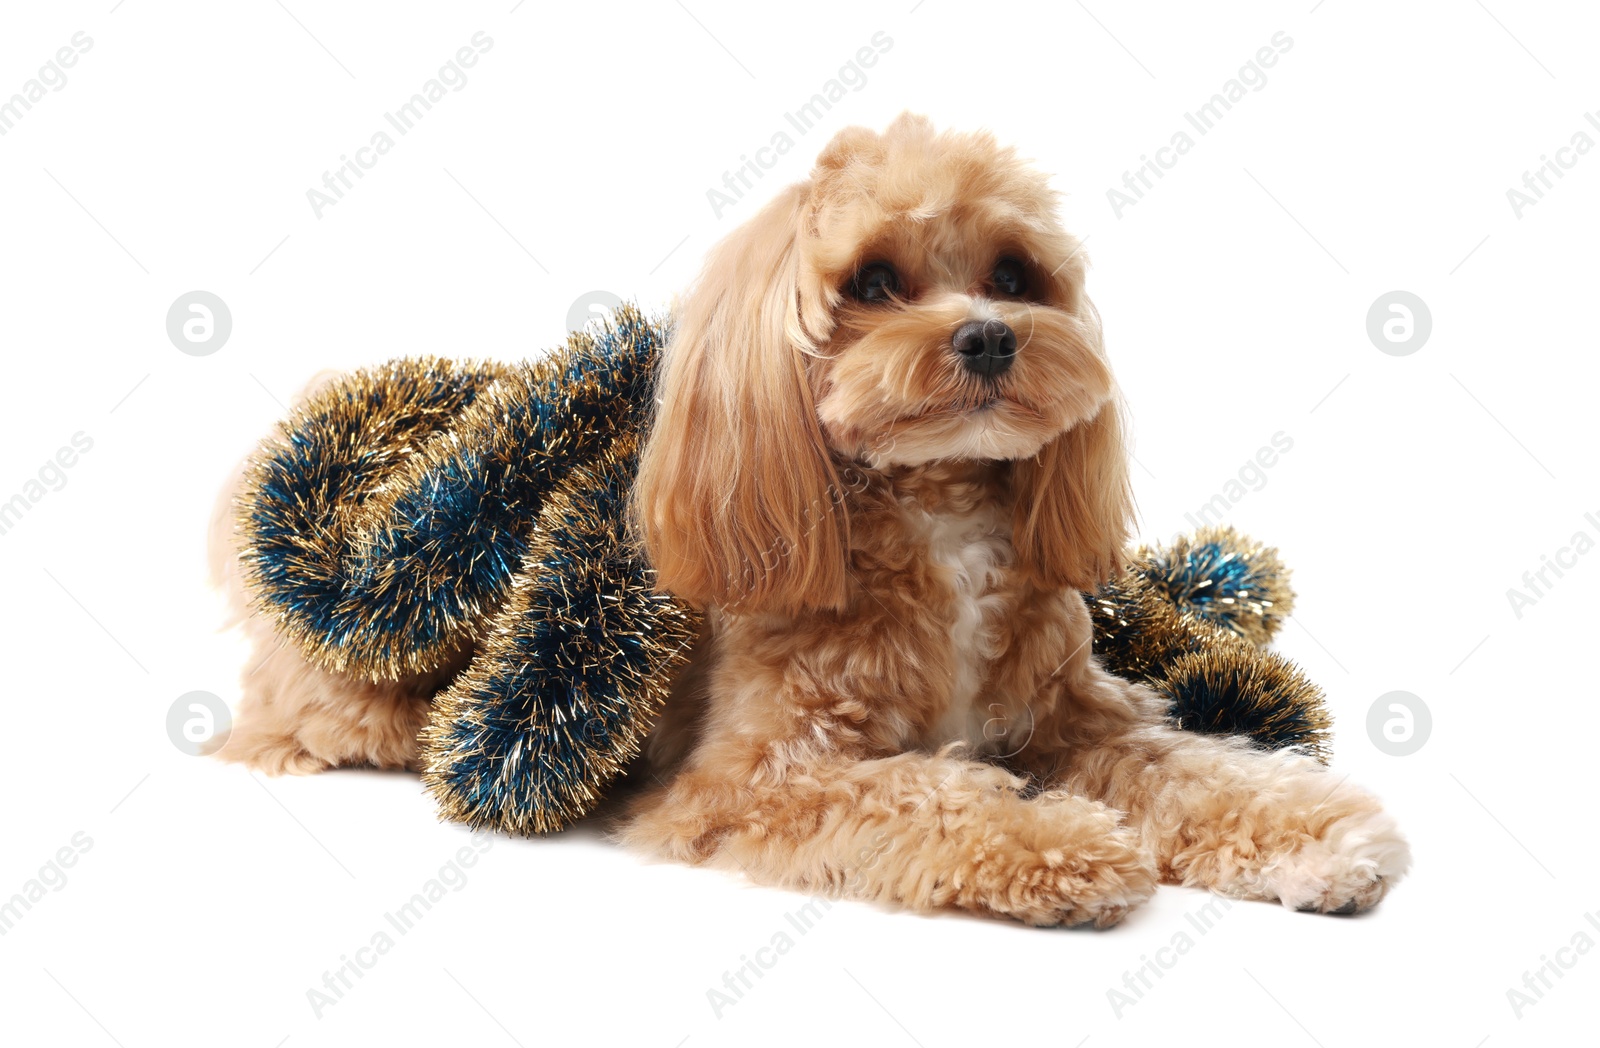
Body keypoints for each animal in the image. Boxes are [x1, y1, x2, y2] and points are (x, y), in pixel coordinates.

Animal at [216, 115, 1414, 928]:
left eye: (1013, 273)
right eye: (874, 282)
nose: (988, 336)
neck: (938, 513)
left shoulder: (1081, 720)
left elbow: (1197, 767)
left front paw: (1312, 831)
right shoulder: (756, 779)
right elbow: (931, 794)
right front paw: (1059, 837)